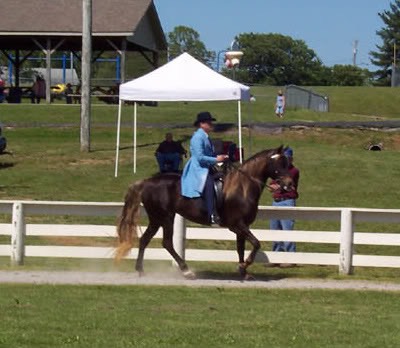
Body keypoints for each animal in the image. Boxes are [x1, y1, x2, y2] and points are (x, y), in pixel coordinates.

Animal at [115, 145, 294, 282]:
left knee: (145, 240)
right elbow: (256, 243)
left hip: (157, 219)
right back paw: (186, 271)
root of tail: (146, 182)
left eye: (287, 163)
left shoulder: (242, 228)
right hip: (164, 217)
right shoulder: (238, 225)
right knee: (167, 243)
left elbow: (241, 249)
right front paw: (245, 265)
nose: (290, 184)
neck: (243, 187)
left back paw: (140, 270)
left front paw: (243, 272)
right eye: (279, 163)